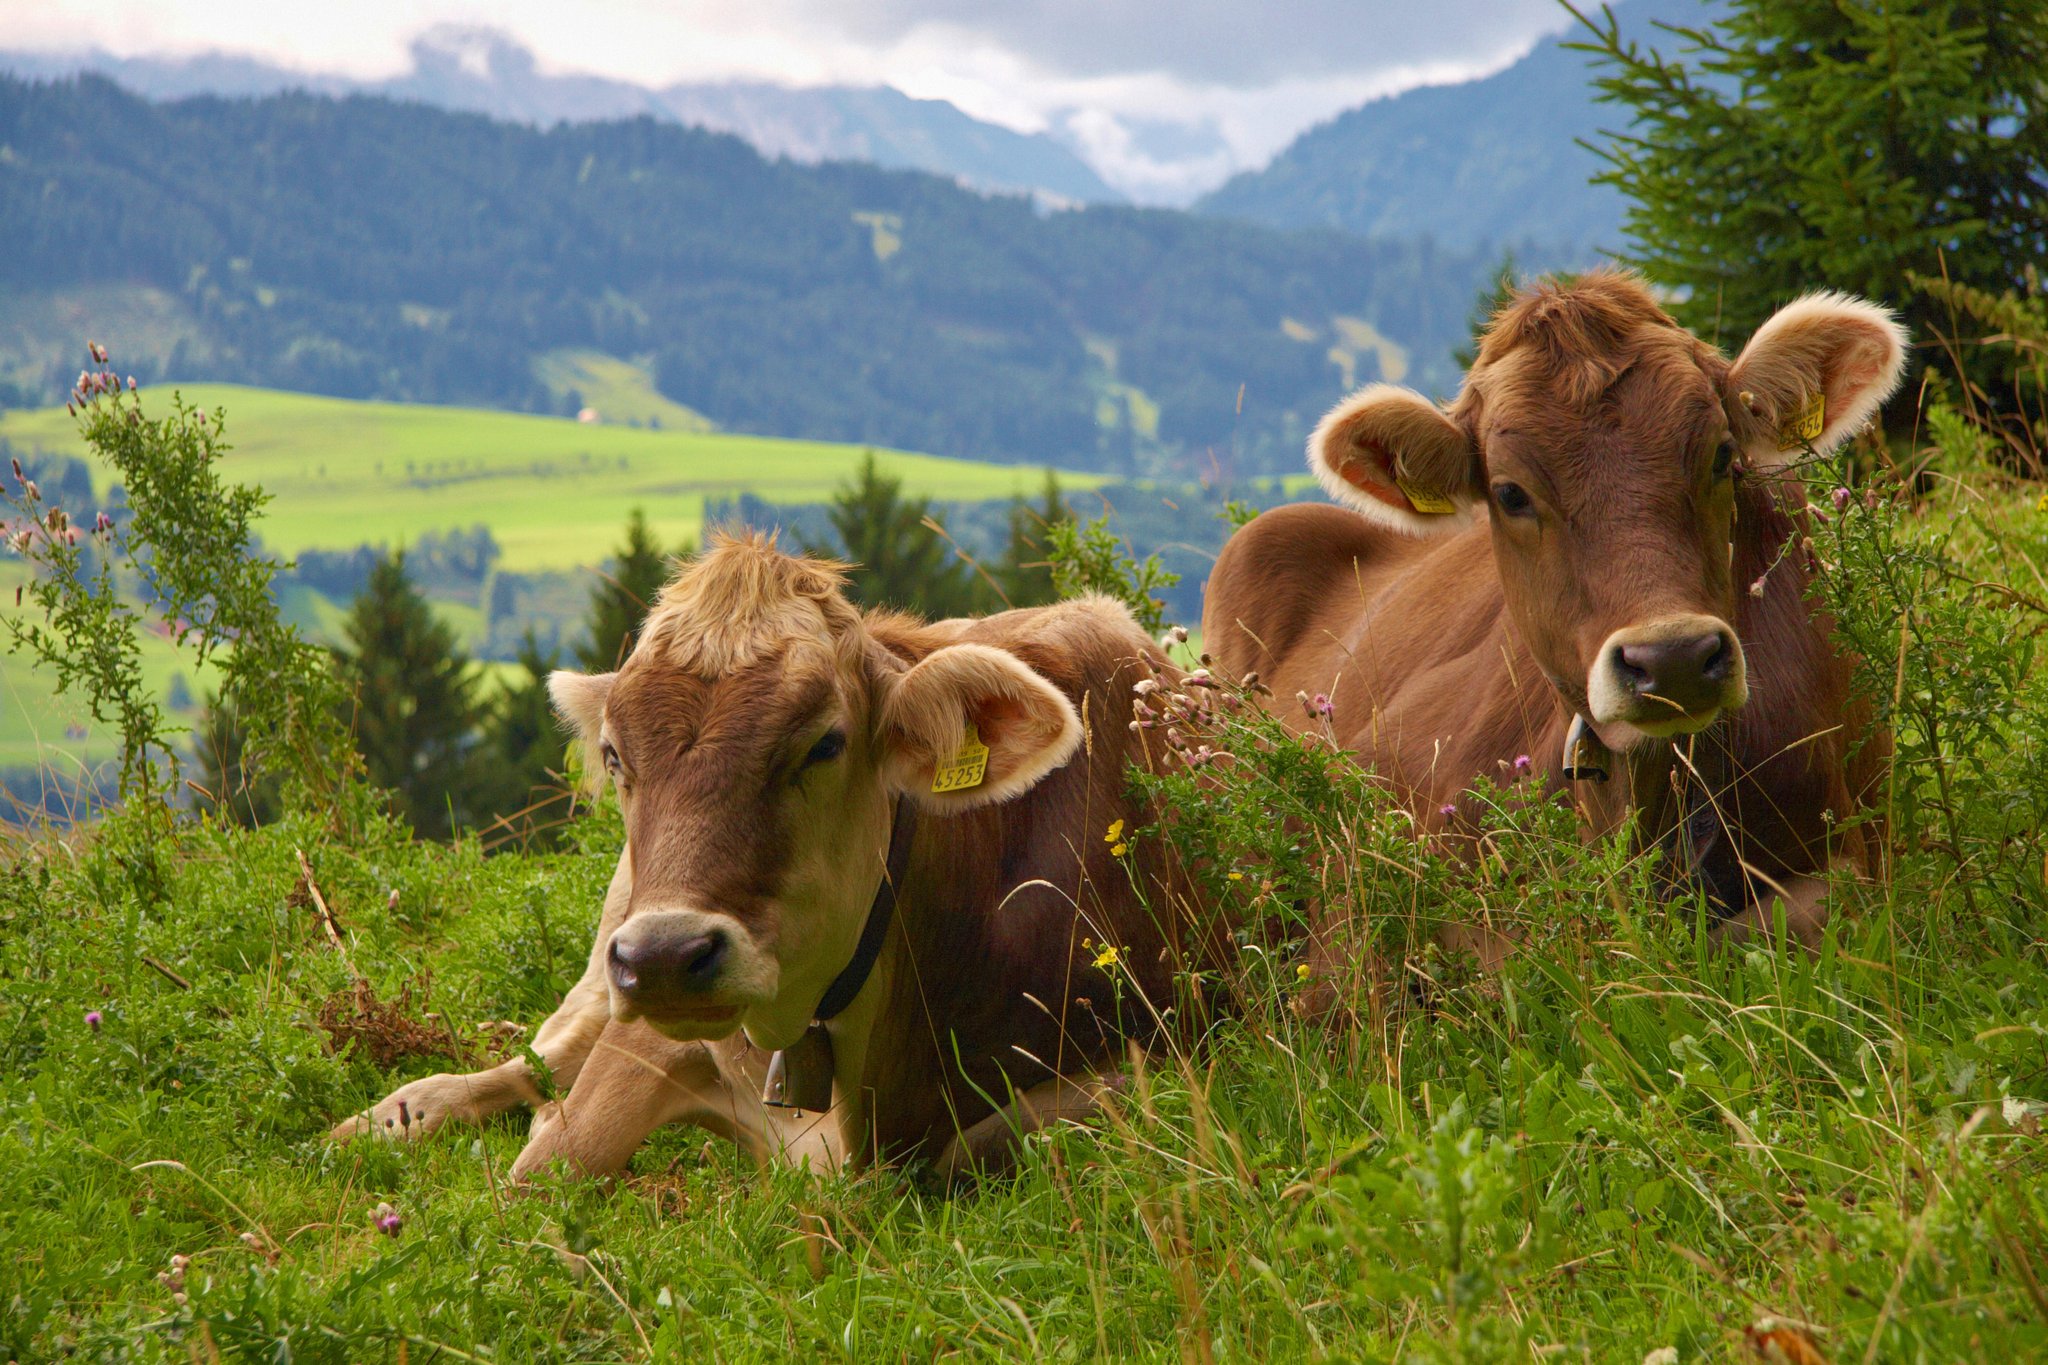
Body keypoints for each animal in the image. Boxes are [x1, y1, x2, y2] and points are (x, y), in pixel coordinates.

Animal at [335, 532, 1196, 1178]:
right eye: (615, 756)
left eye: (824, 744)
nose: (666, 955)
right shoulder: (649, 1028)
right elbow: (546, 1168)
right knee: (532, 1062)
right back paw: (396, 1114)